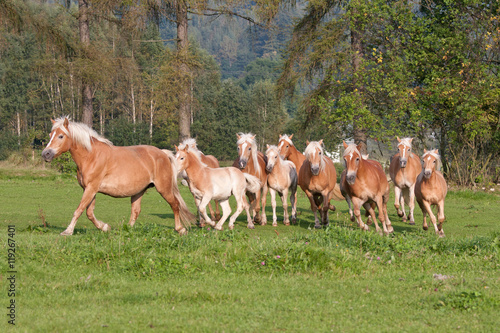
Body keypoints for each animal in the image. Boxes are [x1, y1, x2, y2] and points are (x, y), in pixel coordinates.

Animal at [42, 115, 194, 235]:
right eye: (50, 135)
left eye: (61, 136)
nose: (46, 154)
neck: (91, 156)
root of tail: (162, 153)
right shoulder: (89, 189)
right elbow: (89, 213)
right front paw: (105, 227)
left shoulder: (91, 188)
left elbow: (79, 210)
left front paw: (67, 231)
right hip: (138, 191)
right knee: (136, 211)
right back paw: (128, 229)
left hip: (164, 188)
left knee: (175, 204)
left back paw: (180, 229)